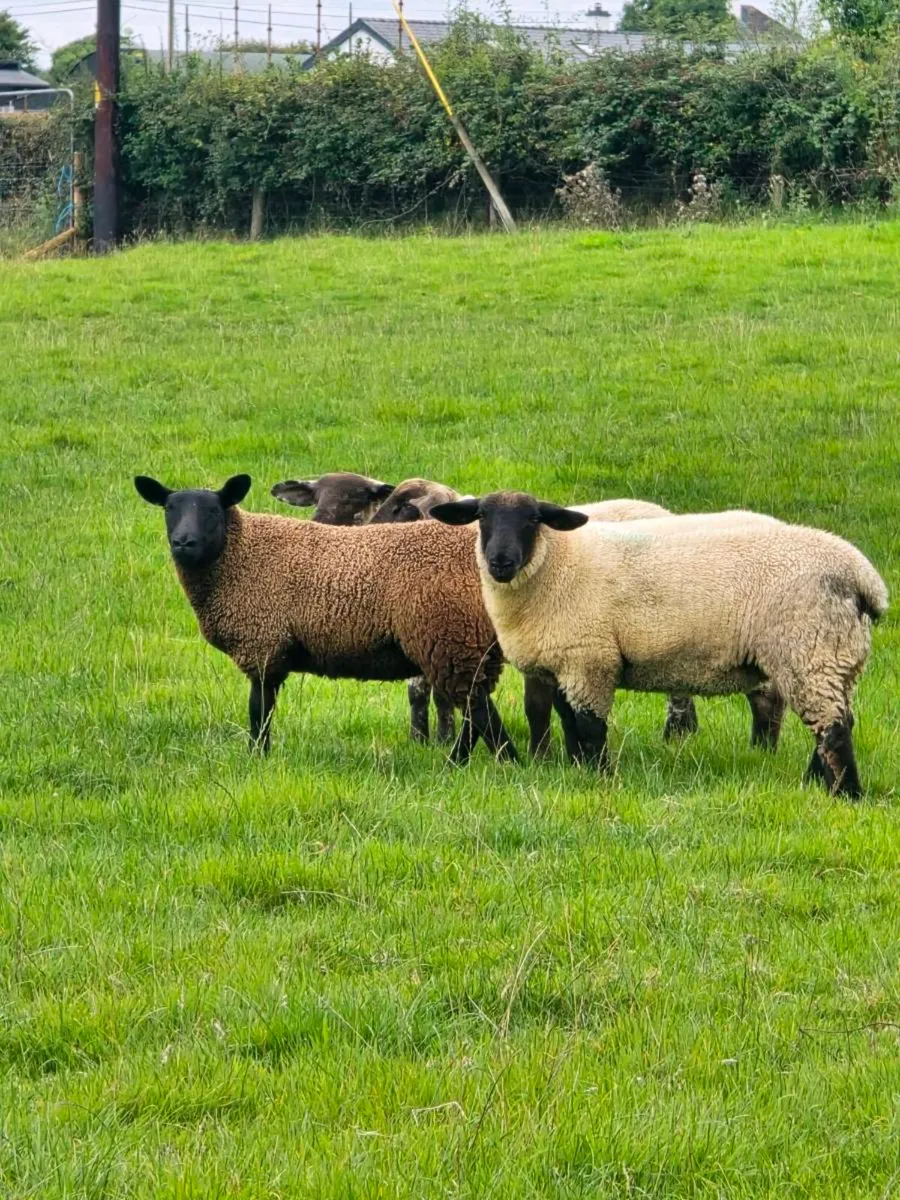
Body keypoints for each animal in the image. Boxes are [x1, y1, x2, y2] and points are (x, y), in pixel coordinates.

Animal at [431, 491, 887, 797]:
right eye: (481, 516)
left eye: (533, 519)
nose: (501, 561)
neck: (557, 564)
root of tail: (864, 579)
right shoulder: (561, 662)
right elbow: (566, 719)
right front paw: (574, 766)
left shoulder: (589, 659)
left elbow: (590, 726)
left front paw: (599, 777)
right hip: (833, 655)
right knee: (836, 720)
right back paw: (814, 782)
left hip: (808, 648)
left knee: (832, 727)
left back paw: (846, 794)